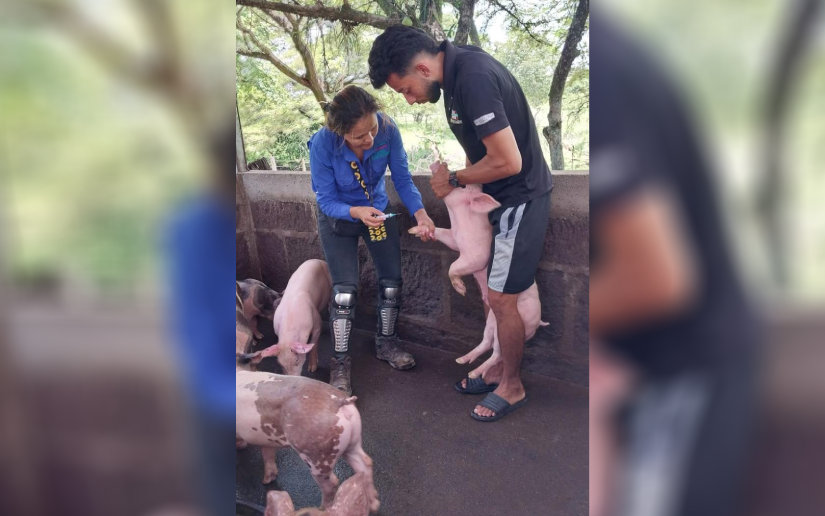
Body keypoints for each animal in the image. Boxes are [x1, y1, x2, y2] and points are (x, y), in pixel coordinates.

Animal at [236, 369, 380, 513]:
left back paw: (322, 508)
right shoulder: (266, 437)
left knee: (332, 483)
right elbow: (268, 454)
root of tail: (340, 401)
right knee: (364, 463)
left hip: (317, 455)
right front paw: (267, 480)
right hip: (353, 441)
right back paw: (374, 505)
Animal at [409, 162, 548, 380]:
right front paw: (415, 231)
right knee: (486, 342)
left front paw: (461, 291)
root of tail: (539, 320)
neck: (459, 222)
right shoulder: (453, 239)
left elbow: (454, 266)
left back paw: (475, 374)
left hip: (516, 322)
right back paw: (461, 360)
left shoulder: (476, 255)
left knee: (499, 354)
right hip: (491, 321)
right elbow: (442, 234)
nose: (441, 163)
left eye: (462, 185)